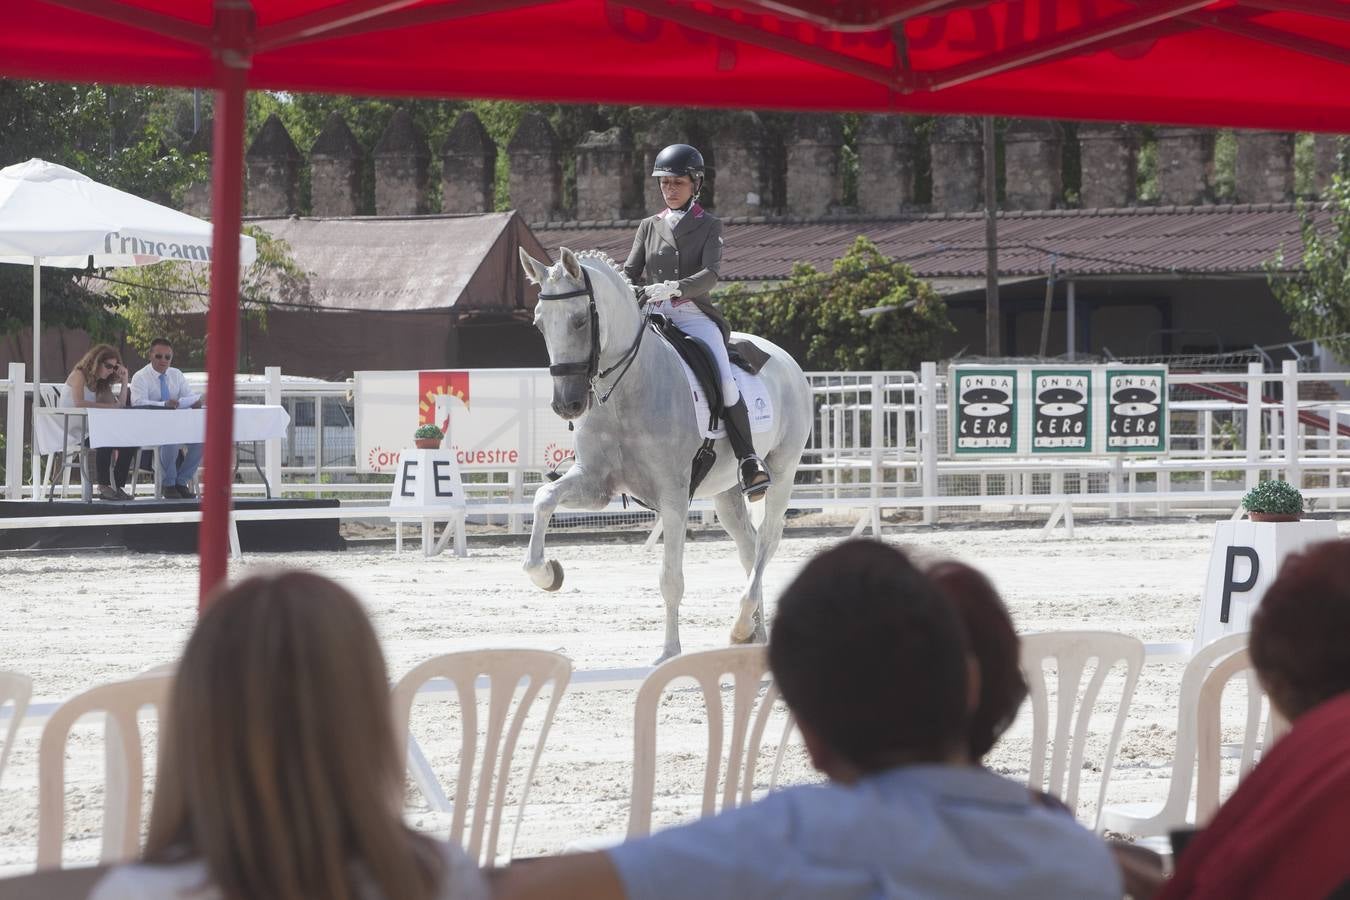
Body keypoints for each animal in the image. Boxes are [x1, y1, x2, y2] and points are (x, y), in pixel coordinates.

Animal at [515, 246, 810, 661]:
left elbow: (670, 578)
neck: (625, 391)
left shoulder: (673, 497)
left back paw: (742, 625)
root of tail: (783, 358)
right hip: (726, 492)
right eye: (540, 324)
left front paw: (669, 652)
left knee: (768, 538)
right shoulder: (596, 483)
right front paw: (546, 572)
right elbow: (544, 498)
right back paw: (753, 632)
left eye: (578, 321)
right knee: (750, 547)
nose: (567, 405)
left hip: (782, 471)